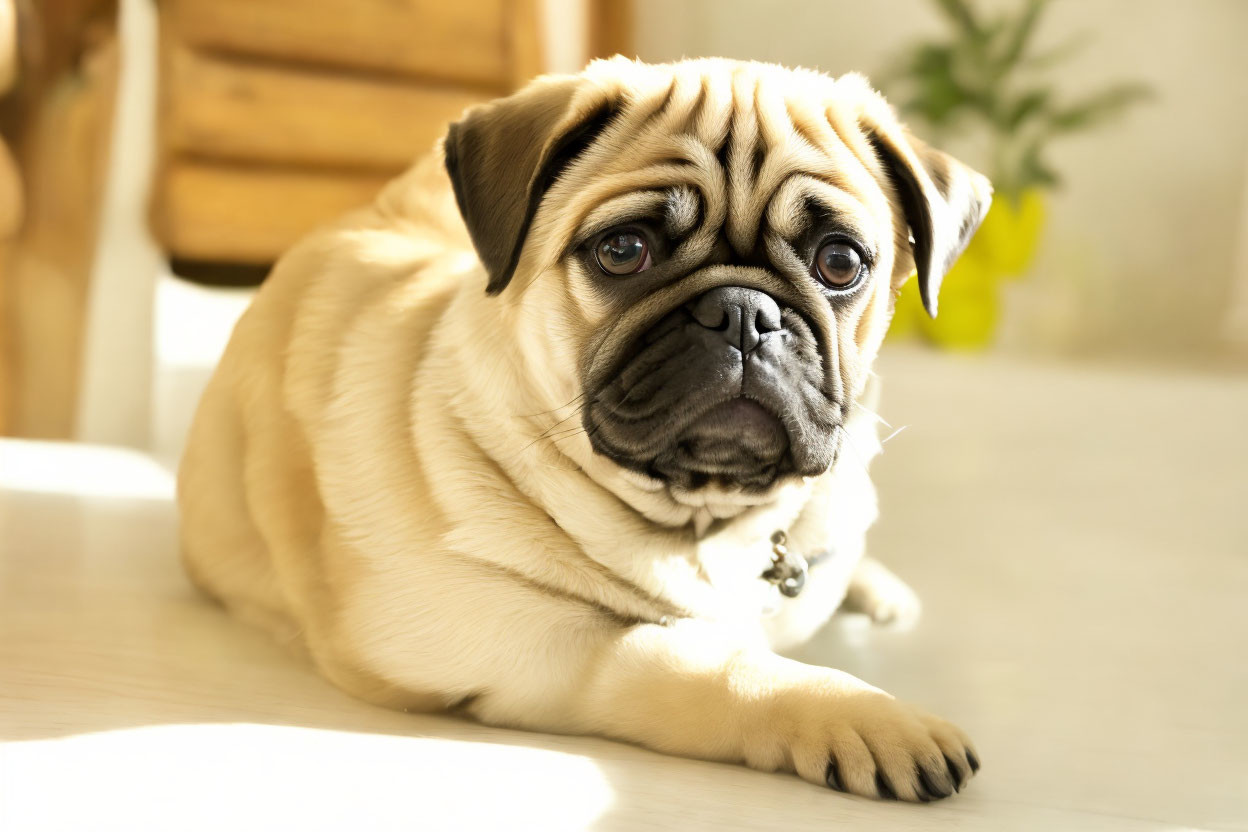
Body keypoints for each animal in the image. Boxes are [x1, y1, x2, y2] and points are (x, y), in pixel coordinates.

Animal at [178, 57, 993, 798]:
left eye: (840, 263)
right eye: (623, 251)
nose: (742, 313)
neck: (705, 526)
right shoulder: (523, 642)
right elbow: (708, 663)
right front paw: (863, 715)